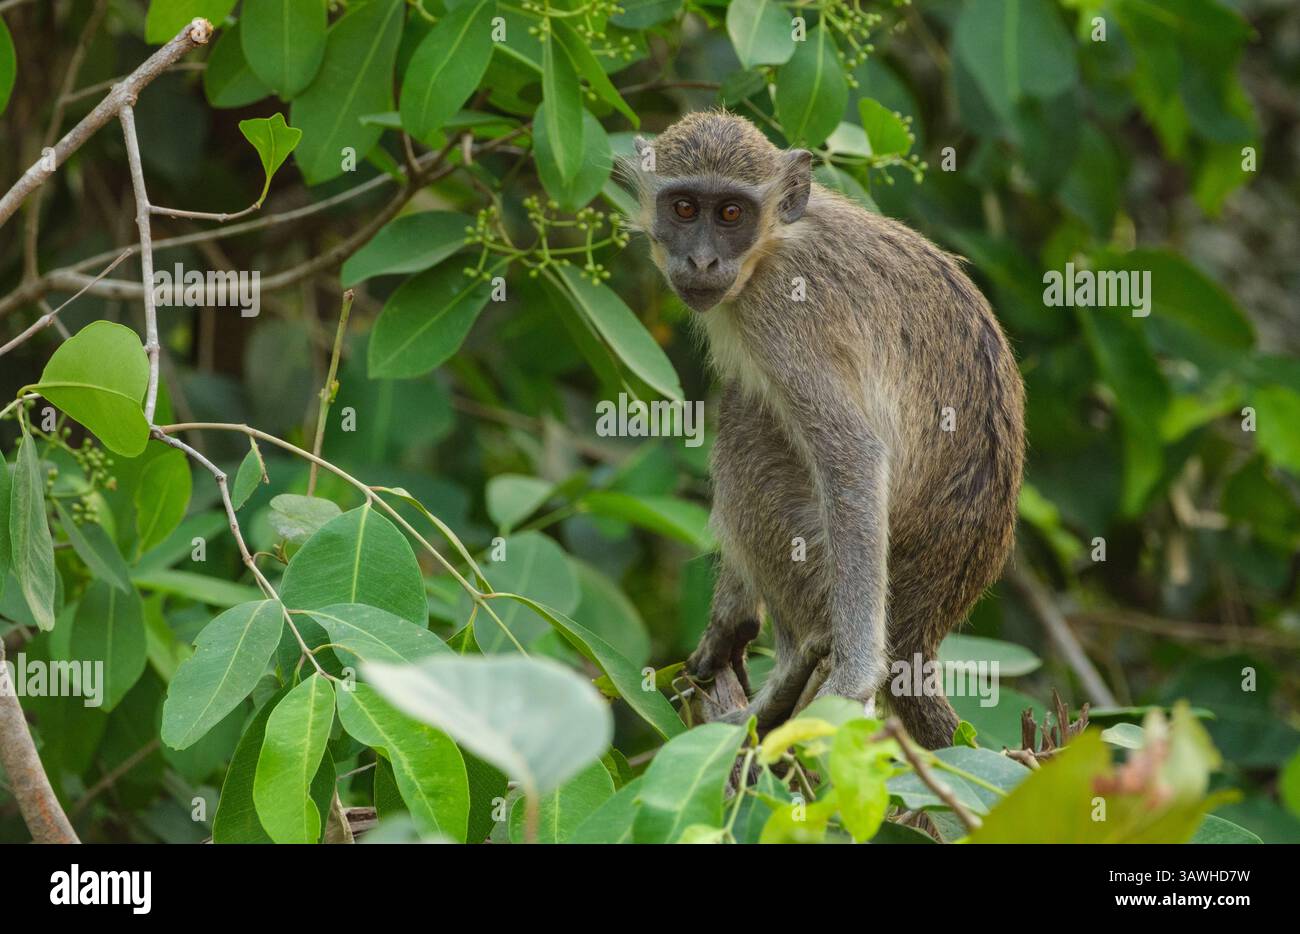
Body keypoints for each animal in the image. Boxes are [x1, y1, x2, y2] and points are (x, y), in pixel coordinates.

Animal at [624, 111, 1025, 749]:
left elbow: (855, 456)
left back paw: (790, 675)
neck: (771, 246)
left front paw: (851, 679)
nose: (703, 263)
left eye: (731, 213)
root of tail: (924, 626)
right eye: (684, 208)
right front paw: (728, 619)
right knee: (750, 402)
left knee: (748, 421)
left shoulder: (780, 316)